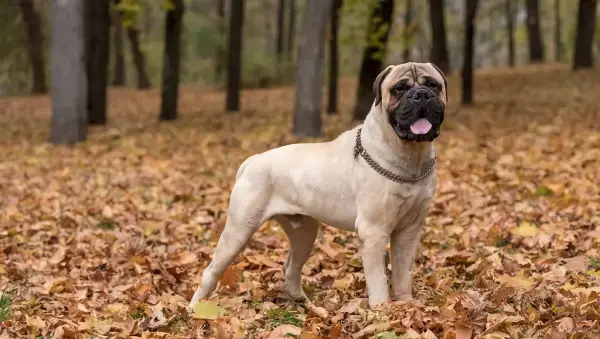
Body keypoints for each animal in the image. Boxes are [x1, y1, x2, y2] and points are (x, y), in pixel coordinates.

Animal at [188, 62, 446, 312]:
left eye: (433, 85)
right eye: (400, 89)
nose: (421, 95)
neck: (411, 157)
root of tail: (253, 160)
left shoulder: (409, 230)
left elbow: (404, 273)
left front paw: (405, 305)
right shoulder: (373, 231)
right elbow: (378, 279)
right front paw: (383, 311)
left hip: (304, 233)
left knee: (291, 268)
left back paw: (306, 305)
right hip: (239, 229)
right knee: (211, 271)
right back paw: (194, 309)